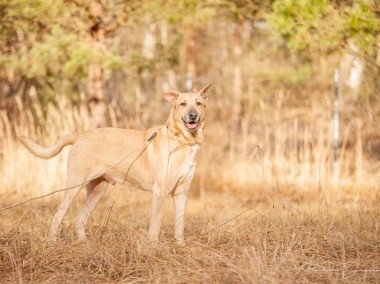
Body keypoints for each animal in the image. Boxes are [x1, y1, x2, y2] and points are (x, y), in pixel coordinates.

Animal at [20, 83, 212, 245]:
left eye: (198, 103)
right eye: (183, 104)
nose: (193, 115)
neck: (183, 142)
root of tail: (81, 135)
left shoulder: (181, 193)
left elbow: (179, 224)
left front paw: (180, 246)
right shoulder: (159, 192)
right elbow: (155, 225)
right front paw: (153, 248)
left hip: (98, 191)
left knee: (79, 220)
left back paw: (84, 243)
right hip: (74, 186)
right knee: (57, 217)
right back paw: (52, 242)